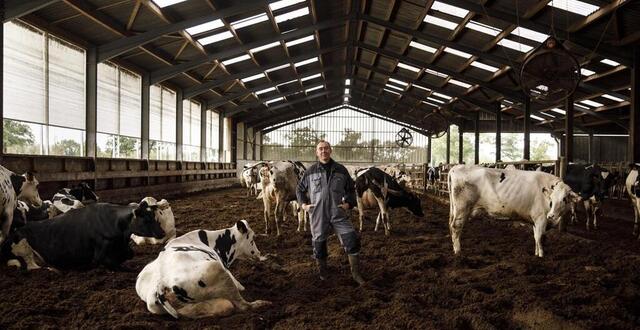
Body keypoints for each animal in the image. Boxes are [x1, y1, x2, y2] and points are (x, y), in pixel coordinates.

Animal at [1, 196, 166, 270]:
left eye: (155, 216)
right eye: (146, 219)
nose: (162, 232)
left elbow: (129, 254)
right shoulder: (100, 256)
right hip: (24, 247)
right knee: (32, 266)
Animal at [136, 220, 268, 318]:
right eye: (252, 239)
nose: (259, 253)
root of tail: (161, 283)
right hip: (215, 269)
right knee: (243, 305)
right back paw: (260, 304)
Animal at [448, 165, 576, 258]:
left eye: (564, 199)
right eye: (552, 198)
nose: (551, 215)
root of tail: (456, 167)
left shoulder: (535, 220)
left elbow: (535, 237)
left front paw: (535, 254)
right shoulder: (541, 218)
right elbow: (540, 238)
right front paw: (541, 256)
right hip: (462, 208)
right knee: (456, 227)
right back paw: (458, 252)